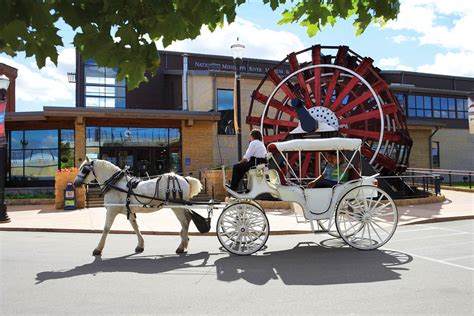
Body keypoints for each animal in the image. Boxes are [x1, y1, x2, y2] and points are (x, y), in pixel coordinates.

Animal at [73, 159, 203, 256]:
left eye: (84, 170)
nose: (75, 183)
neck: (115, 184)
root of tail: (185, 179)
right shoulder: (129, 211)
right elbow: (135, 227)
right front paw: (140, 245)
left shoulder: (111, 210)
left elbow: (106, 229)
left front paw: (98, 249)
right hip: (180, 206)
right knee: (187, 220)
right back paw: (184, 242)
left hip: (176, 207)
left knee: (185, 222)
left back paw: (182, 246)